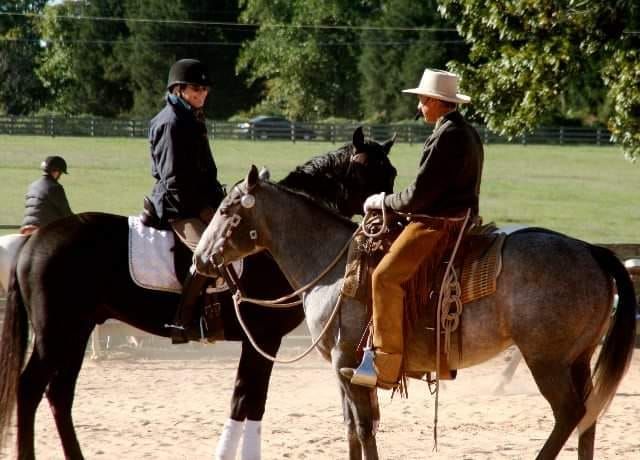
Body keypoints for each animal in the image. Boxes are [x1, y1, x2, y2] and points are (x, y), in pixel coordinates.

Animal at [0, 126, 396, 460]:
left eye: (391, 175)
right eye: (373, 173)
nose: (391, 224)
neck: (271, 242)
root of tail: (36, 239)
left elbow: (248, 402)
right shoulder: (262, 339)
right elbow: (248, 401)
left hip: (75, 332)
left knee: (59, 394)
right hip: (57, 334)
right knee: (30, 389)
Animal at [194, 166, 636, 460]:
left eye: (226, 210)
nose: (199, 260)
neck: (332, 268)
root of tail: (591, 250)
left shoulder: (346, 362)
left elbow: (362, 428)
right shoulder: (345, 371)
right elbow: (353, 428)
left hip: (546, 360)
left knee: (569, 413)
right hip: (578, 358)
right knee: (588, 416)